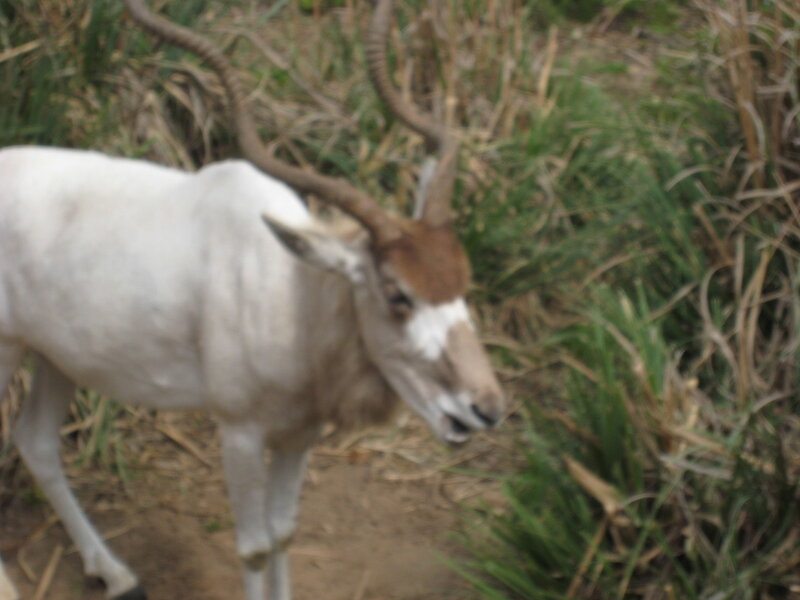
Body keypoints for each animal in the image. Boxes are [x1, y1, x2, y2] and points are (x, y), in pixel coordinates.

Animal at [0, 0, 504, 598]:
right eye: (396, 293)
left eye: (461, 280)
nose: (485, 408)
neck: (291, 291)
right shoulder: (238, 432)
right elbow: (256, 546)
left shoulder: (298, 435)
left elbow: (284, 531)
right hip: (6, 349)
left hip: (58, 356)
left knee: (36, 442)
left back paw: (117, 574)